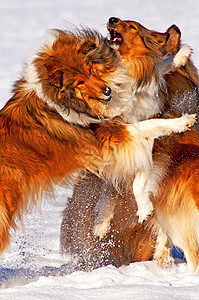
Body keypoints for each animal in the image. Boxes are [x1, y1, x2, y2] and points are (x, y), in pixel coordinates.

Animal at [60, 18, 199, 272]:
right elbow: (112, 186)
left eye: (133, 27)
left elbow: (137, 181)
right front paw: (102, 221)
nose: (112, 19)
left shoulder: (152, 148)